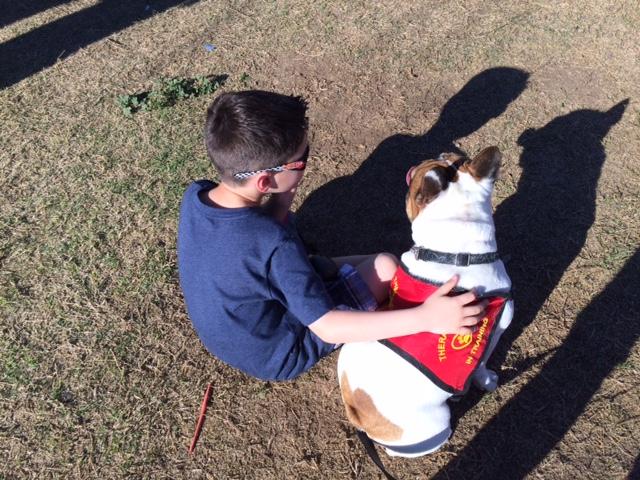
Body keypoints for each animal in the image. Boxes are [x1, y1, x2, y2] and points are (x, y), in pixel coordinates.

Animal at [338, 146, 512, 458]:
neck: (456, 255)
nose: (441, 152)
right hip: (436, 425)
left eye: (453, 159)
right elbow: (481, 364)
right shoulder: (496, 328)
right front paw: (487, 379)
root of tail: (357, 412)